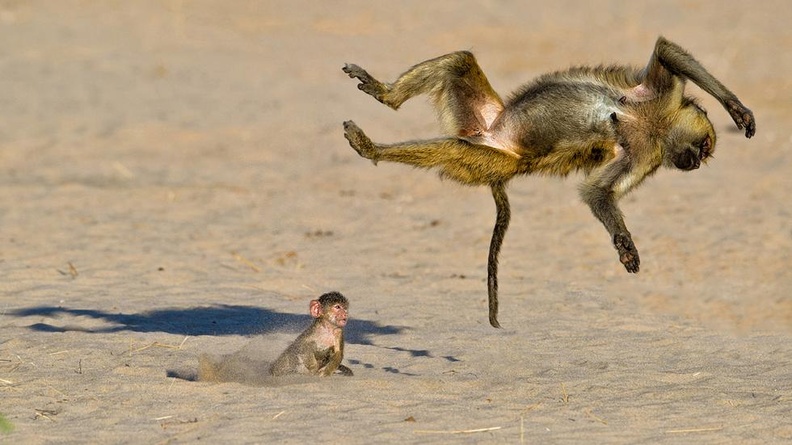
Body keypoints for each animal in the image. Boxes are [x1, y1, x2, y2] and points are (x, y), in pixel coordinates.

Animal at [342, 37, 756, 328]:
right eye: (703, 148)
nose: (696, 164)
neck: (653, 125)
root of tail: (487, 131)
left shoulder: (645, 155)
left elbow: (597, 192)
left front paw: (624, 245)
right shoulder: (660, 102)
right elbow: (667, 52)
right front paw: (736, 109)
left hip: (492, 157)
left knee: (453, 142)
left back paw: (371, 146)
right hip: (485, 121)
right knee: (459, 63)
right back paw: (383, 99)